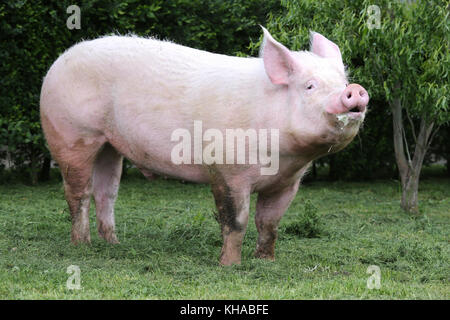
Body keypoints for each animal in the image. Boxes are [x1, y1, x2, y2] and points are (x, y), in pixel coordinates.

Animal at [40, 27, 368, 264]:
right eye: (310, 86)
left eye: (341, 81)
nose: (354, 90)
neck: (284, 158)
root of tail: (57, 63)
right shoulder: (228, 169)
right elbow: (236, 220)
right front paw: (230, 265)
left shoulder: (288, 181)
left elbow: (269, 223)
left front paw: (266, 261)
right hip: (72, 134)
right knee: (78, 193)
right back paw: (82, 246)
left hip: (110, 144)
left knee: (106, 193)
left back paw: (113, 243)